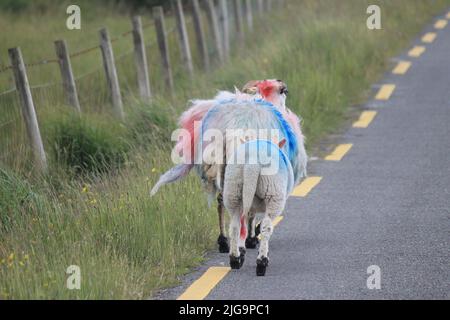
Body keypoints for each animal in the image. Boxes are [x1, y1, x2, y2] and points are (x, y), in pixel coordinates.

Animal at [222, 138, 296, 276]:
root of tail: (253, 162)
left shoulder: (250, 206)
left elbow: (248, 223)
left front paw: (243, 248)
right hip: (273, 193)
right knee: (266, 227)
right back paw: (262, 262)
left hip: (233, 189)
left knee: (235, 226)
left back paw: (235, 259)